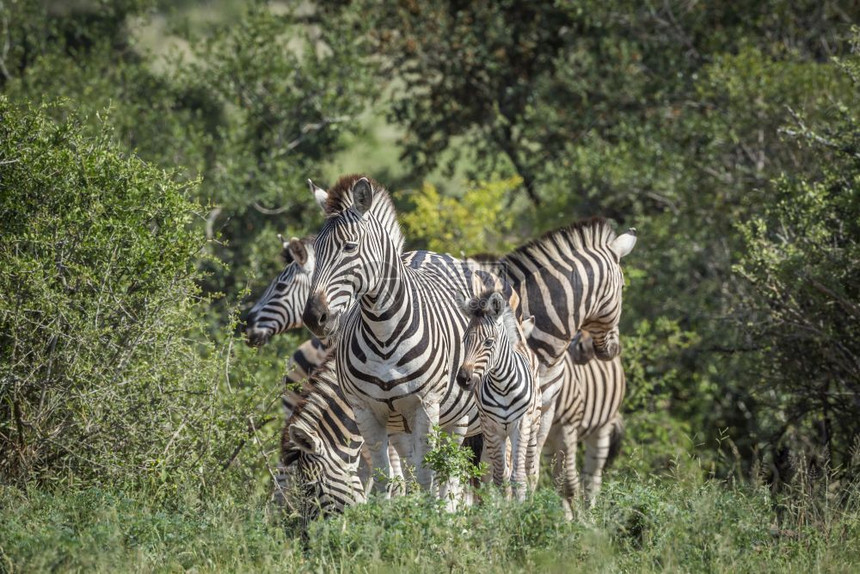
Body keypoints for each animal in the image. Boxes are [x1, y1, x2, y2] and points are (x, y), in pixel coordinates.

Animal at [300, 174, 508, 496]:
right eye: (315, 253)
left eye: (349, 247)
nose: (314, 316)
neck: (383, 333)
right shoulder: (367, 412)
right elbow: (386, 481)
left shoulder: (425, 407)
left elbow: (426, 478)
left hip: (463, 419)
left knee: (459, 477)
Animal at [456, 290, 536, 502]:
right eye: (464, 340)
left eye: (488, 342)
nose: (463, 379)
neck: (503, 386)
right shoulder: (491, 428)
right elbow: (500, 478)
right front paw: (503, 510)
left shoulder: (521, 424)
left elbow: (518, 477)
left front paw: (522, 508)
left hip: (533, 426)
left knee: (531, 472)